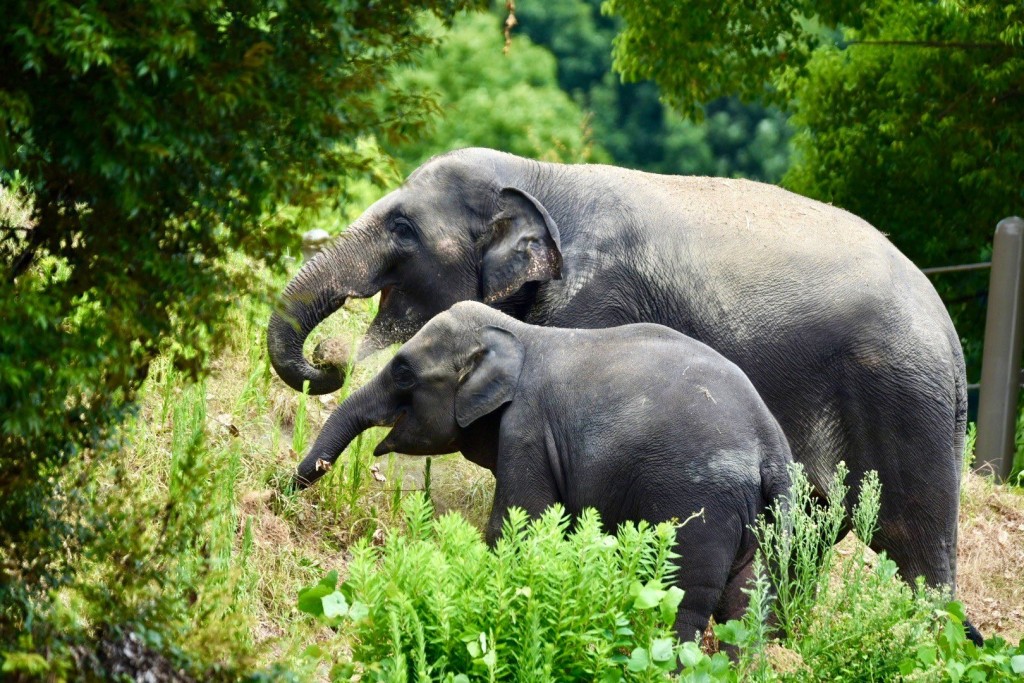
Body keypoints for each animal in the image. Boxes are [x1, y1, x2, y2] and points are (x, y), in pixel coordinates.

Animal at [294, 301, 790, 643]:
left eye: (402, 372)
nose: (288, 489)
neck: (520, 334)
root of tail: (771, 448)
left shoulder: (527, 430)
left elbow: (517, 524)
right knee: (749, 606)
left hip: (701, 505)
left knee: (683, 602)